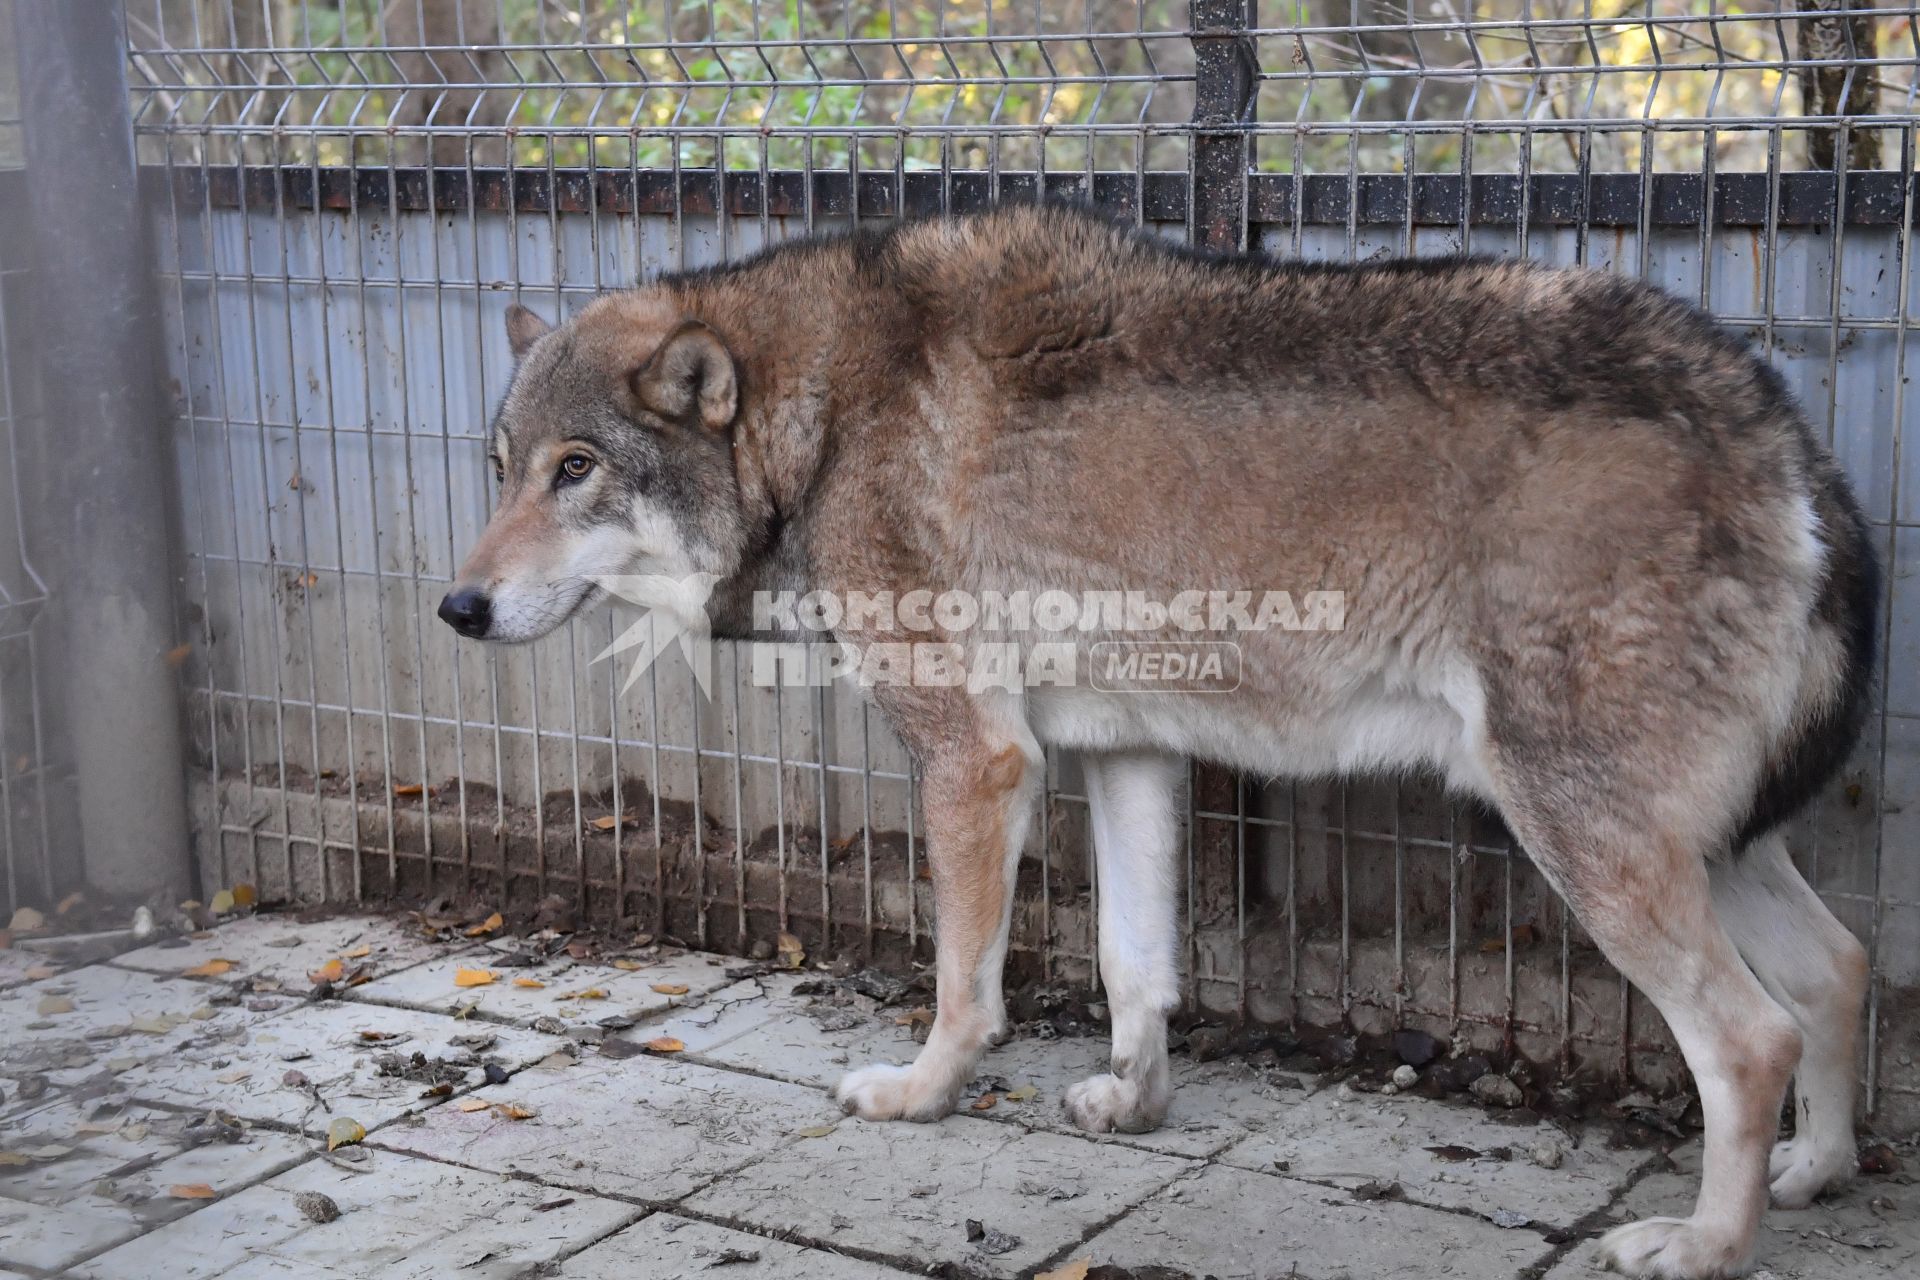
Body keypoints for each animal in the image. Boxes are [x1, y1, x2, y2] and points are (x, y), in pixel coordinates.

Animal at [439, 205, 1873, 1274]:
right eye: (502, 466)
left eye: (578, 469)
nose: (458, 607)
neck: (826, 411)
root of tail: (1788, 434)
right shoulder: (1125, 754)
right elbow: (1137, 969)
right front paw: (1133, 1104)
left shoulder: (978, 761)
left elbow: (964, 986)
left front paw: (920, 1094)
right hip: (1707, 849)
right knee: (1843, 970)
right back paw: (1814, 1171)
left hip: (1586, 841)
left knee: (1751, 1040)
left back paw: (1702, 1245)